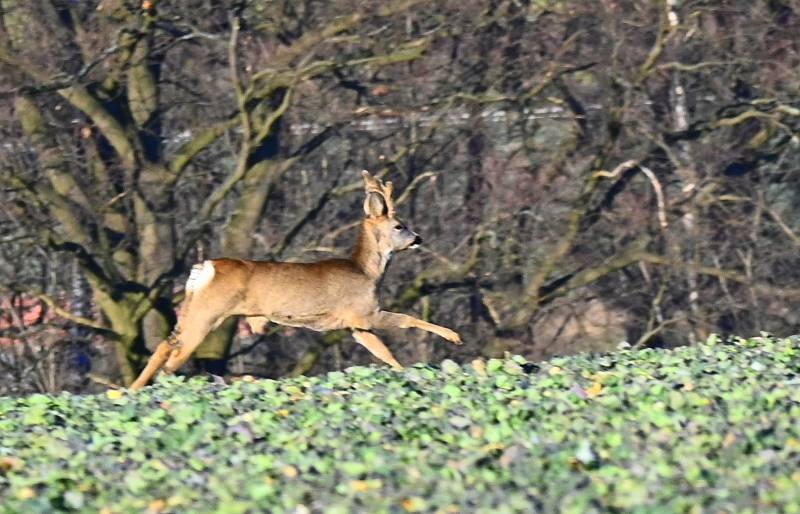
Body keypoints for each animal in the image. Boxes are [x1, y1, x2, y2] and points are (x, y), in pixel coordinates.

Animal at [128, 169, 460, 388]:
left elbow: (385, 354)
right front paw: (453, 336)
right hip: (208, 311)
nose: (419, 238)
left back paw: (135, 389)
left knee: (165, 345)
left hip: (193, 307)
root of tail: (205, 266)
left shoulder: (355, 325)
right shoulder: (364, 312)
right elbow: (406, 320)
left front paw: (406, 374)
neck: (367, 272)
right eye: (399, 225)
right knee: (175, 357)